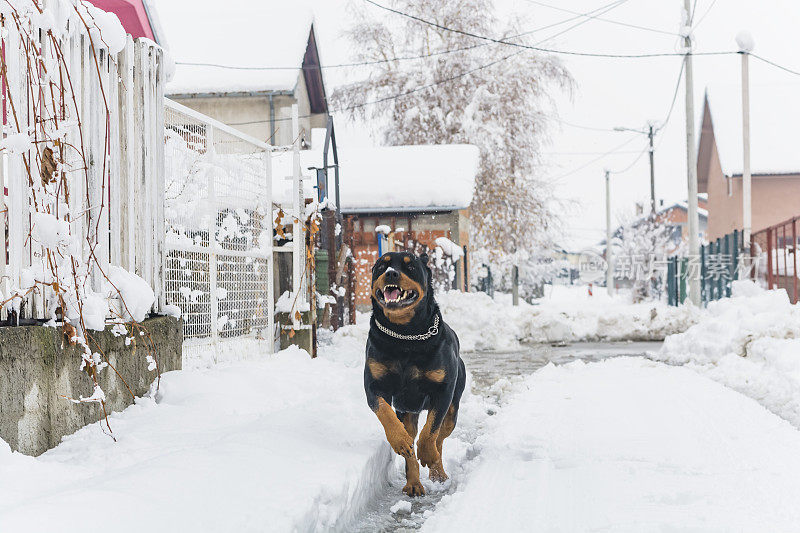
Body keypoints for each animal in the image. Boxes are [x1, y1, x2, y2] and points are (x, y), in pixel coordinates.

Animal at [364, 251, 468, 496]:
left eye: (410, 267)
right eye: (381, 266)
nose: (391, 273)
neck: (405, 336)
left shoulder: (442, 391)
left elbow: (431, 430)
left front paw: (428, 455)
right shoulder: (373, 385)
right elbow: (384, 412)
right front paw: (399, 440)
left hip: (453, 409)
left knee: (441, 436)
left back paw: (438, 472)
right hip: (407, 411)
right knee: (411, 441)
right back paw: (413, 483)